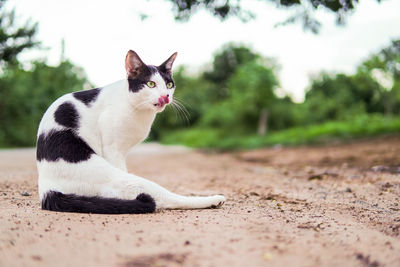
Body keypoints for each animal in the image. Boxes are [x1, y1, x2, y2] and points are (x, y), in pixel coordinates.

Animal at [36, 49, 225, 214]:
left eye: (169, 84)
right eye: (150, 84)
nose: (165, 96)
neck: (138, 109)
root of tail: (47, 190)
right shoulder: (113, 150)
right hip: (121, 178)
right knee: (167, 199)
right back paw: (214, 200)